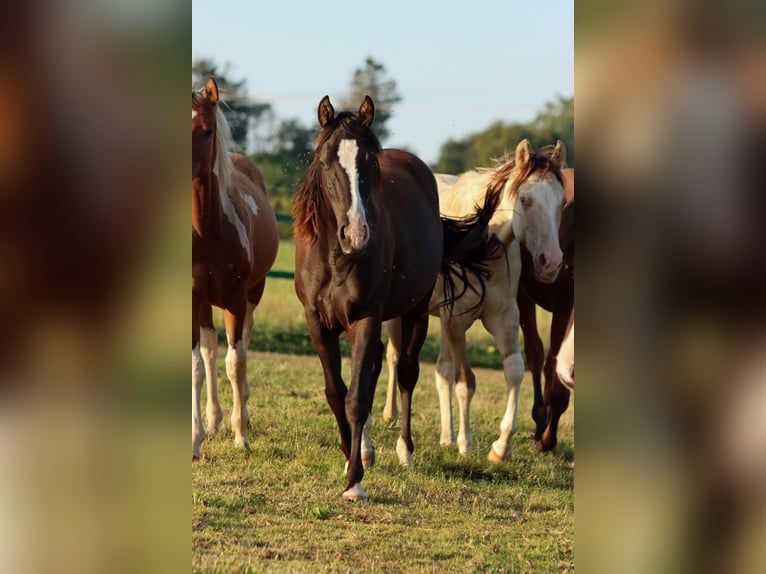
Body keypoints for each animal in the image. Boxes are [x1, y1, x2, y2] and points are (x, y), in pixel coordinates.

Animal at [292, 95, 501, 502]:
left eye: (371, 161)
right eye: (324, 161)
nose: (357, 234)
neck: (335, 257)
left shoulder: (367, 318)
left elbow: (357, 397)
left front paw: (354, 482)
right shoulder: (317, 323)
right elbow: (336, 392)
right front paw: (350, 454)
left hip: (414, 313)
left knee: (405, 374)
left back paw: (404, 452)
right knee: (375, 369)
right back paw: (367, 449)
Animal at [382, 141, 567, 463]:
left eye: (562, 202)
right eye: (525, 199)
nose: (551, 263)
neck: (482, 245)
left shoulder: (503, 320)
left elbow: (514, 371)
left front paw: (500, 446)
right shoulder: (457, 322)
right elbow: (465, 381)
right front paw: (465, 442)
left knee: (441, 371)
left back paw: (445, 436)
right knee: (393, 357)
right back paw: (389, 415)